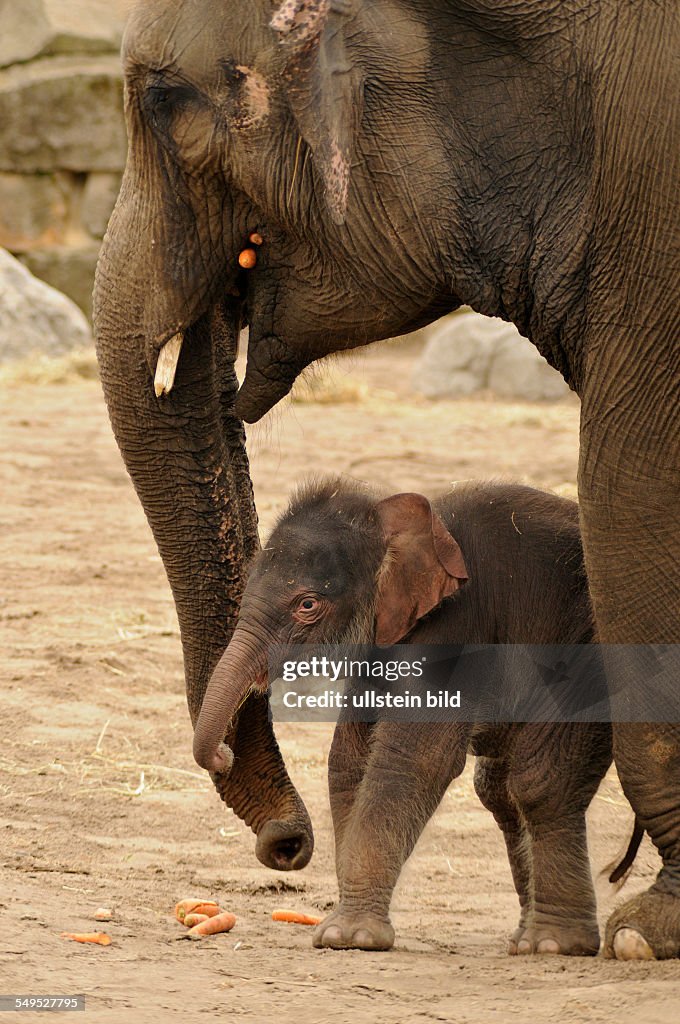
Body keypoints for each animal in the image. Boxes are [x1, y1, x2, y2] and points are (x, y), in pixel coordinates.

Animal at [193, 477, 614, 950]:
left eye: (307, 605)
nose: (224, 754)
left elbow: (414, 758)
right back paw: (528, 940)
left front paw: (348, 937)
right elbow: (348, 761)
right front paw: (342, 930)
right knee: (500, 790)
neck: (390, 518)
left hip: (588, 651)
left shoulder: (454, 627)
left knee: (540, 781)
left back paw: (553, 944)